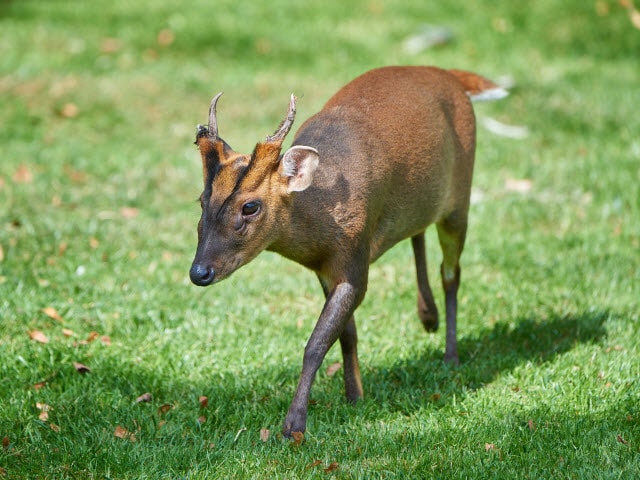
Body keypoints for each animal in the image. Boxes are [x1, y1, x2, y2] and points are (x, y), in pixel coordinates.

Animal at [188, 65, 508, 436]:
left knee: (452, 273)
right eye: (202, 200)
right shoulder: (326, 270)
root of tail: (450, 75)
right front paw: (355, 396)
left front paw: (294, 425)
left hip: (460, 199)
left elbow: (316, 342)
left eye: (250, 206)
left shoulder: (355, 260)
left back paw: (450, 354)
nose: (199, 272)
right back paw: (428, 316)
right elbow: (346, 334)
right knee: (418, 232)